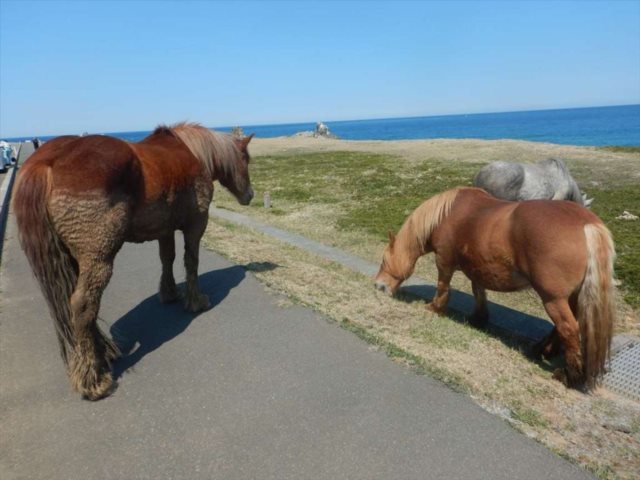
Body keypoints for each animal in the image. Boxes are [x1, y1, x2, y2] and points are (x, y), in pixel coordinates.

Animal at [14, 122, 254, 400]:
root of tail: (47, 161)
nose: (250, 195)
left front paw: (169, 293)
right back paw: (93, 380)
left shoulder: (165, 229)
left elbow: (167, 258)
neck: (193, 152)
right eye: (246, 158)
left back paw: (102, 354)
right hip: (98, 259)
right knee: (83, 306)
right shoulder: (196, 224)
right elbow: (191, 260)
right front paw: (196, 301)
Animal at [374, 187, 615, 390]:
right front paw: (478, 319)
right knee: (562, 327)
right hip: (569, 297)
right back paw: (542, 350)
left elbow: (443, 285)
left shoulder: (444, 261)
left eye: (384, 260)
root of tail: (588, 224)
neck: (447, 214)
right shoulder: (477, 266)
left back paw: (567, 376)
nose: (378, 286)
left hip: (552, 298)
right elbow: (478, 291)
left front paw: (435, 308)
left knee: (568, 328)